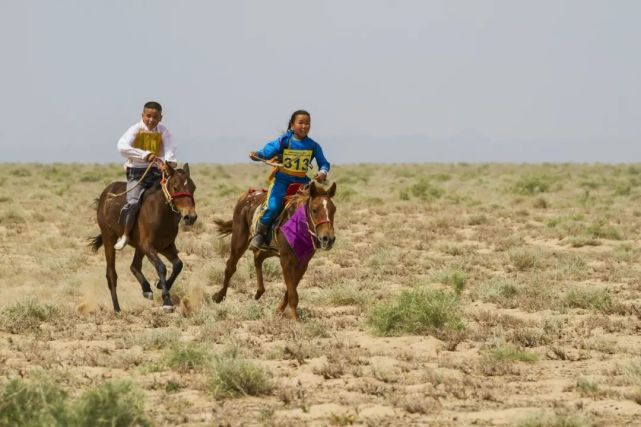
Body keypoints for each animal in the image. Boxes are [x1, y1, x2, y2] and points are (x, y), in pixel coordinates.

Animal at [89, 162, 196, 312]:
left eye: (193, 188)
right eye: (175, 187)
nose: (190, 217)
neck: (161, 212)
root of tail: (105, 194)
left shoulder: (165, 246)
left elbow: (178, 265)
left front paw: (160, 285)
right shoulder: (148, 246)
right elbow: (161, 267)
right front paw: (167, 301)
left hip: (139, 247)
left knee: (134, 266)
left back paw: (146, 289)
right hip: (109, 239)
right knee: (111, 274)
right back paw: (117, 308)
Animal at [214, 181, 338, 320]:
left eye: (334, 210)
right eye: (314, 210)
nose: (328, 239)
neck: (297, 225)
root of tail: (247, 195)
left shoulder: (303, 263)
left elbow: (291, 289)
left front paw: (279, 311)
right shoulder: (286, 260)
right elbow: (293, 294)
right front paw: (295, 320)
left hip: (269, 249)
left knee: (258, 258)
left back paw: (259, 291)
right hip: (239, 241)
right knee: (230, 266)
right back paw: (219, 296)